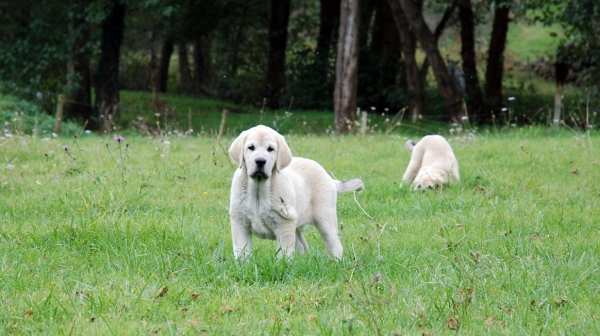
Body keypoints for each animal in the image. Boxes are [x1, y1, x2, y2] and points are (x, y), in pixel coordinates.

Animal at [227, 124, 364, 258]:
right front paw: (243, 264)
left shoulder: (284, 224)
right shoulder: (240, 223)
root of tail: (328, 178)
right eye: (251, 147)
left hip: (324, 218)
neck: (258, 189)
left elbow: (284, 254)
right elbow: (242, 252)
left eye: (271, 149)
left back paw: (336, 261)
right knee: (303, 246)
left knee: (335, 245)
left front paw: (282, 264)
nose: (260, 161)